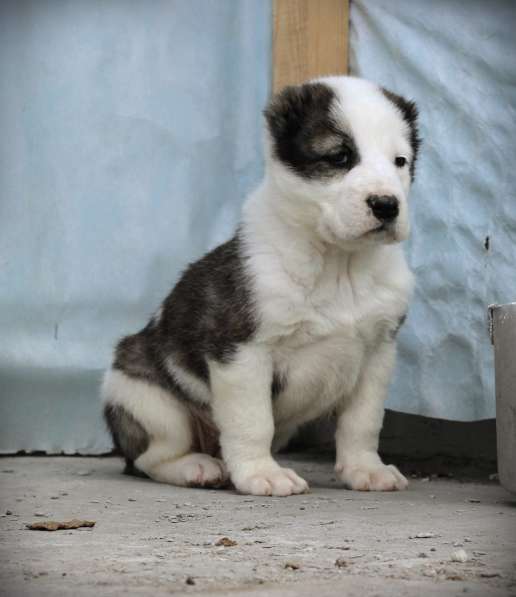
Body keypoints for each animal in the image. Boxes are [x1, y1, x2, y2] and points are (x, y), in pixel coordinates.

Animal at [101, 75, 420, 494]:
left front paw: (365, 468)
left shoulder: (377, 354)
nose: (386, 205)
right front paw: (260, 473)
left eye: (400, 161)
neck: (339, 264)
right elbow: (253, 422)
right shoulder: (241, 351)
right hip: (144, 397)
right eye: (339, 157)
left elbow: (362, 423)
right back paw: (196, 467)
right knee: (150, 457)